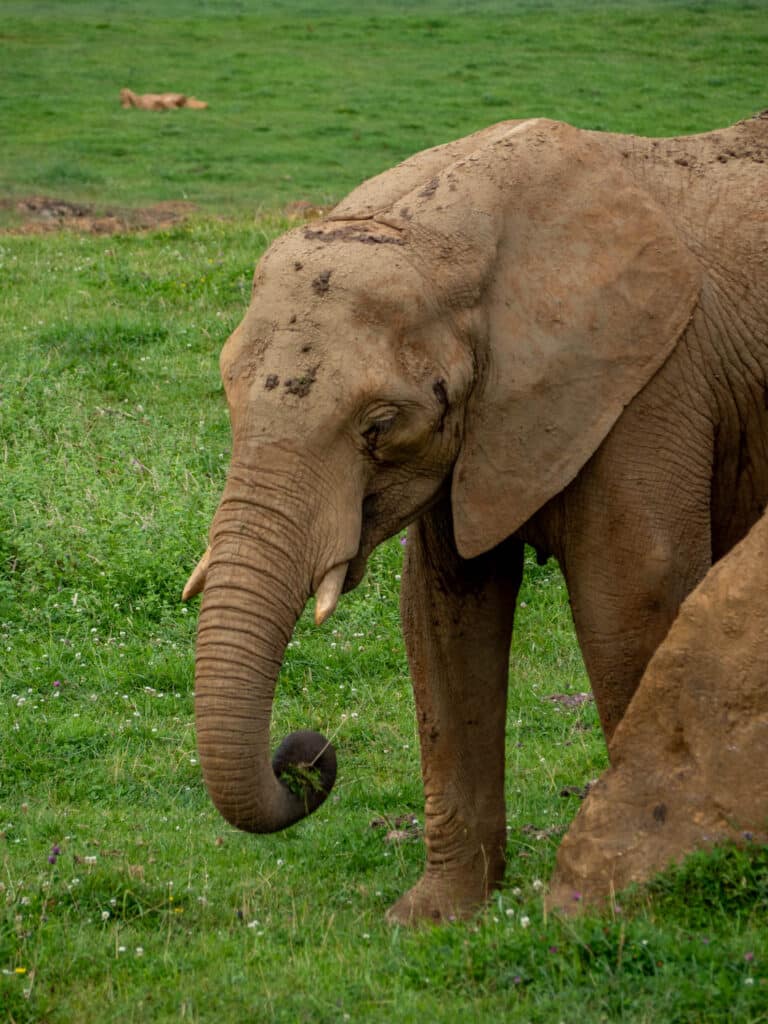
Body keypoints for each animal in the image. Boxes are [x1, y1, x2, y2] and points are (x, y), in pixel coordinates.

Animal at [185, 114, 768, 929]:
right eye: (229, 395)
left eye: (380, 426)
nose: (306, 756)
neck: (453, 233)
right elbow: (442, 615)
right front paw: (432, 918)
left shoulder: (650, 388)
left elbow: (632, 600)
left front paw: (618, 901)